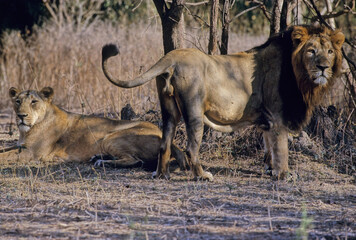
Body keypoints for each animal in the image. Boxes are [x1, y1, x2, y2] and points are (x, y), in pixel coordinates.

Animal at [8, 87, 186, 170]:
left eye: (34, 102)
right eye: (17, 101)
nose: (21, 116)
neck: (27, 130)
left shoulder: (32, 152)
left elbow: (5, 156)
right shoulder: (21, 146)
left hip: (111, 137)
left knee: (136, 160)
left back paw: (101, 162)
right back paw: (98, 157)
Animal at [102, 25, 344, 180]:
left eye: (330, 52)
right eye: (311, 51)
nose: (323, 67)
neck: (301, 78)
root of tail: (171, 56)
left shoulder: (267, 119)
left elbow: (268, 145)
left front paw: (269, 169)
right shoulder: (277, 116)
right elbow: (281, 148)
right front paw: (284, 174)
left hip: (169, 109)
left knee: (164, 144)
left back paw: (162, 175)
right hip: (194, 111)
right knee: (191, 148)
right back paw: (202, 176)